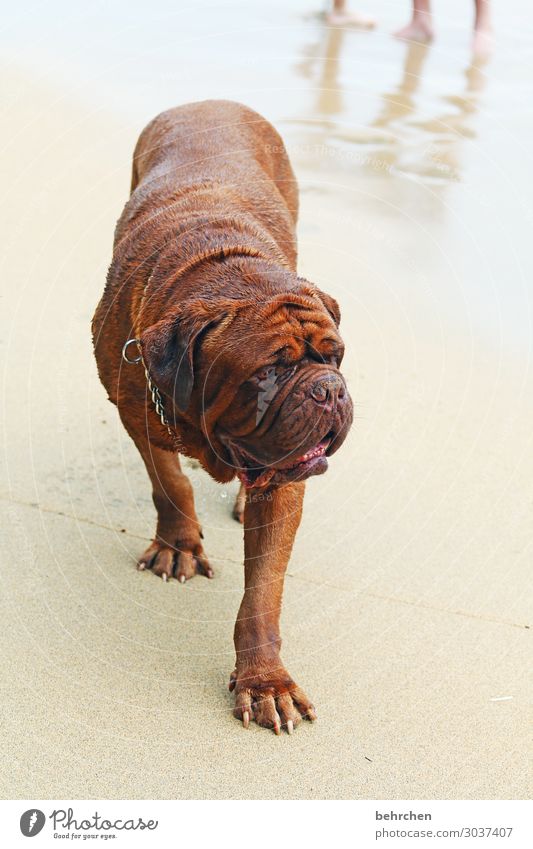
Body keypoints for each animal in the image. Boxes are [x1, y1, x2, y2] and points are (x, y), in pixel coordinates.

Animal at [93, 99, 354, 732]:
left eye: (335, 356)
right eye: (269, 373)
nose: (329, 389)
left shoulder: (285, 483)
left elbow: (262, 592)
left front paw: (265, 681)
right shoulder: (136, 413)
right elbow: (170, 483)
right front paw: (179, 544)